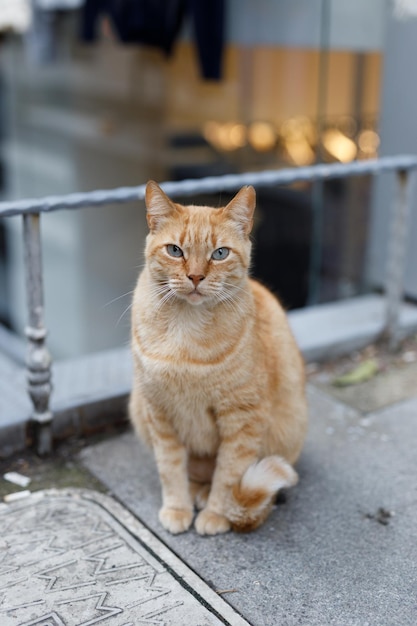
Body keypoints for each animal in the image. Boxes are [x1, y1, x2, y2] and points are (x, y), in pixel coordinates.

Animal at [128, 179, 308, 532]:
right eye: (175, 250)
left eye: (220, 253)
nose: (196, 277)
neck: (185, 329)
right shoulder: (159, 412)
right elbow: (170, 467)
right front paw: (178, 507)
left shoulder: (242, 418)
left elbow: (229, 473)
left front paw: (216, 514)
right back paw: (195, 492)